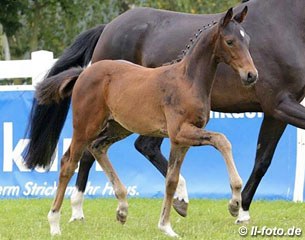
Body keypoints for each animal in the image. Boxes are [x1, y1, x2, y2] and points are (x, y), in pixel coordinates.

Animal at [27, 7, 256, 236]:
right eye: (229, 41)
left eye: (247, 40)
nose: (251, 75)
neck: (188, 81)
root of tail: (84, 72)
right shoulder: (180, 132)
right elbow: (222, 140)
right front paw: (234, 203)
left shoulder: (180, 140)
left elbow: (171, 181)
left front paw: (166, 226)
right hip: (85, 126)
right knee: (69, 163)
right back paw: (55, 224)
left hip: (118, 128)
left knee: (97, 147)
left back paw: (122, 208)